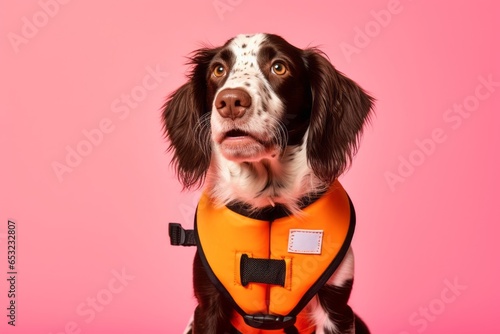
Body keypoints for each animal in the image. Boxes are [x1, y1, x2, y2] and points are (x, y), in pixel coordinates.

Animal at [162, 33, 374, 334]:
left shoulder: (337, 307)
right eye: (218, 70)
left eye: (279, 67)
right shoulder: (207, 304)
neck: (268, 201)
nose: (230, 101)